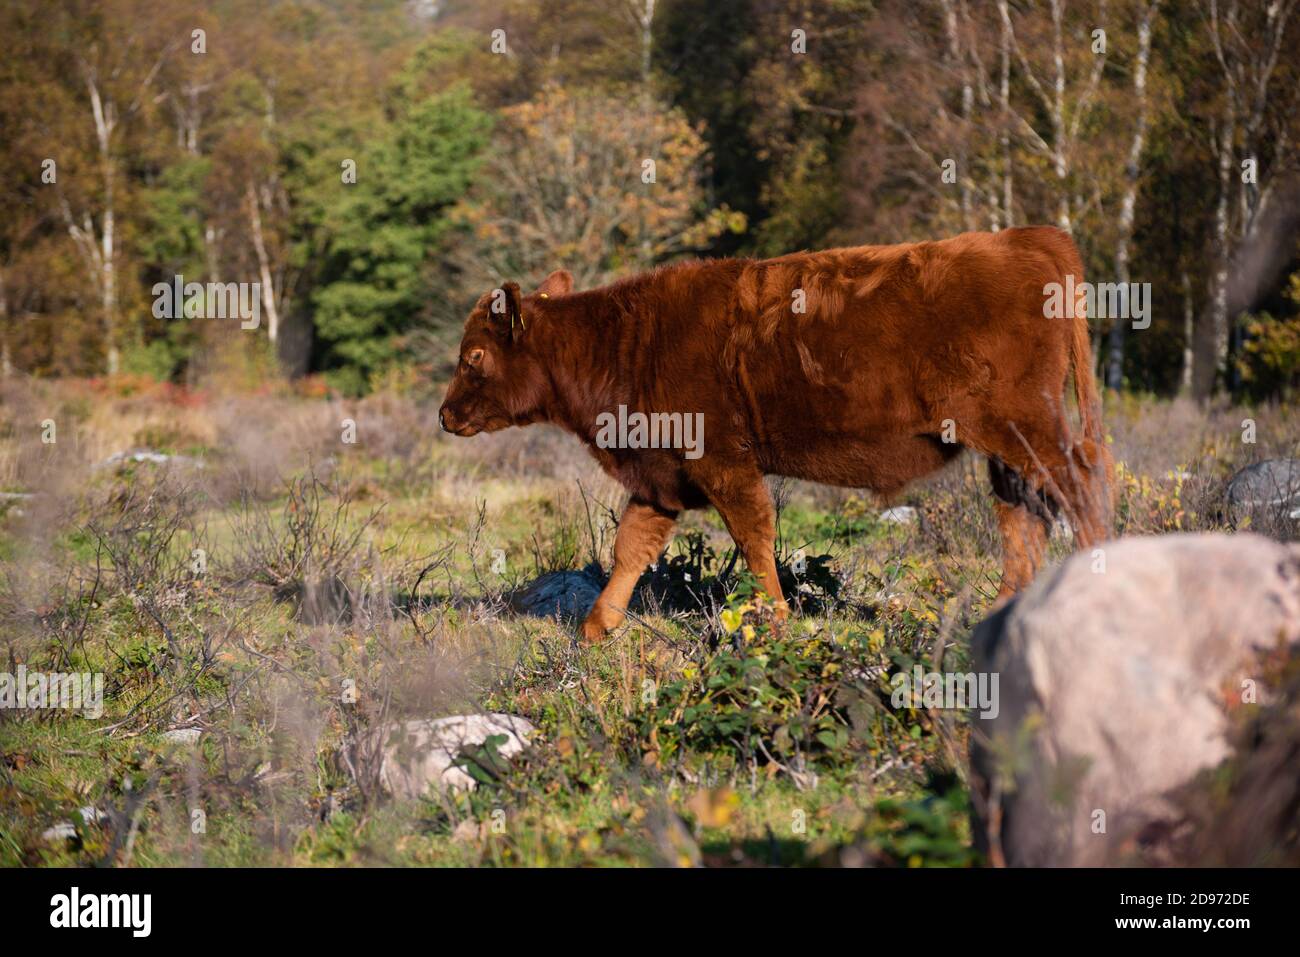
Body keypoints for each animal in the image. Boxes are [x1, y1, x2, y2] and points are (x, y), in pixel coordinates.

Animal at [439, 227, 1115, 641]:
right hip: (1006, 447)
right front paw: (596, 629)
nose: (445, 415)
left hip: (1025, 428)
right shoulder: (661, 477)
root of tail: (1026, 238)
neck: (627, 341)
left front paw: (776, 620)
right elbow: (632, 546)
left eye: (474, 355)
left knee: (1078, 488)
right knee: (1023, 514)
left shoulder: (723, 464)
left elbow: (755, 537)